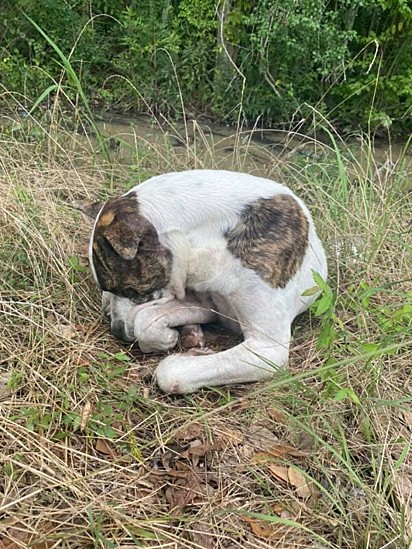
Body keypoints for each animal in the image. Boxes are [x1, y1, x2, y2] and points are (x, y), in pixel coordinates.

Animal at [83, 169, 328, 392]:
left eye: (130, 290)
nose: (117, 332)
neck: (210, 238)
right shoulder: (205, 305)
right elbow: (145, 321)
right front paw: (167, 337)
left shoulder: (267, 347)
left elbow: (169, 373)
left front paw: (188, 358)